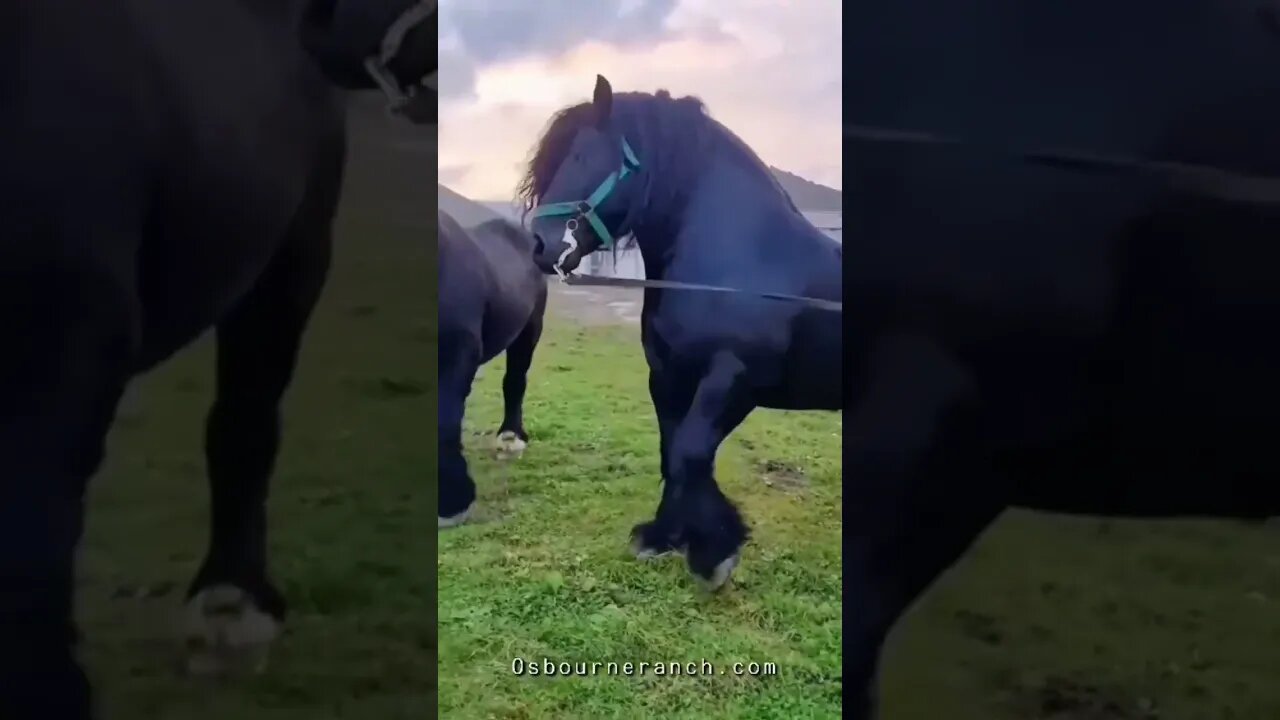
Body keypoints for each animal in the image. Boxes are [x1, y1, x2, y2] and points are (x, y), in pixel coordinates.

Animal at [437, 210, 547, 525]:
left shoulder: (458, 354)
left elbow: (446, 420)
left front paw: (452, 501)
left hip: (529, 329)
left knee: (515, 381)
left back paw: (510, 436)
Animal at [519, 74, 839, 589]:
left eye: (583, 156)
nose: (538, 245)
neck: (742, 260)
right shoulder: (667, 375)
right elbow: (673, 453)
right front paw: (665, 537)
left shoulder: (733, 379)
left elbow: (691, 454)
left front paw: (715, 551)